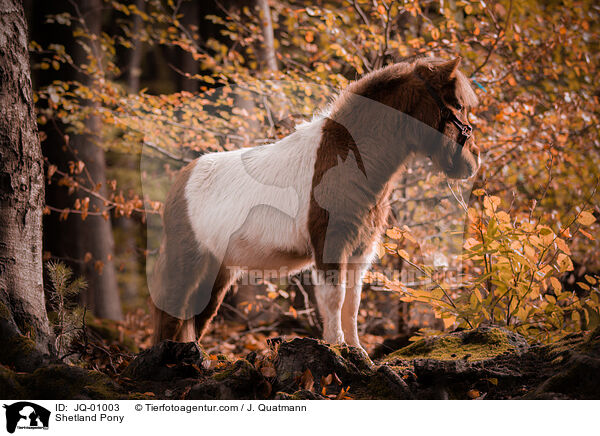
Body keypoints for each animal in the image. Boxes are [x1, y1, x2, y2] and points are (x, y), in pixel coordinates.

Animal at [149, 56, 478, 354]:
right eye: (458, 105)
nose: (473, 163)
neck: (349, 159)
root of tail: (180, 183)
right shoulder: (330, 245)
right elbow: (334, 298)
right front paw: (337, 347)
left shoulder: (359, 252)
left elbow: (352, 304)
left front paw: (357, 351)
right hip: (187, 262)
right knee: (172, 313)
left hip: (218, 272)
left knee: (198, 316)